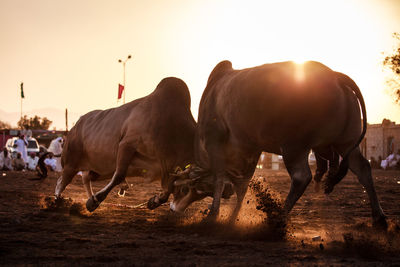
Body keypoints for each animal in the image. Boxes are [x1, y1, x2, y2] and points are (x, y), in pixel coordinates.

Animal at [54, 77, 195, 211]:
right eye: (186, 189)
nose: (176, 209)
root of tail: (77, 124)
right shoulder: (127, 145)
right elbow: (119, 175)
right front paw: (96, 200)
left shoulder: (163, 166)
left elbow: (169, 186)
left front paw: (154, 201)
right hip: (71, 162)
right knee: (62, 181)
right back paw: (58, 200)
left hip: (101, 170)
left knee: (85, 177)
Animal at [171, 60, 388, 228]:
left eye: (184, 189)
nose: (174, 209)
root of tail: (334, 76)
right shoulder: (252, 149)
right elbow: (242, 186)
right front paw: (232, 218)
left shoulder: (215, 141)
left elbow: (219, 178)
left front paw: (213, 214)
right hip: (346, 142)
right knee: (363, 169)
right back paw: (379, 219)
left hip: (294, 146)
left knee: (301, 177)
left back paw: (278, 219)